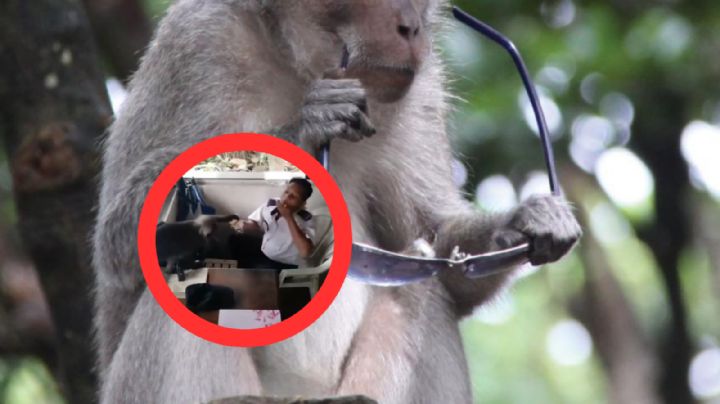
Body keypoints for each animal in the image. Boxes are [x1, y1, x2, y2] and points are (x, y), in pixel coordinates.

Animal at [91, 1, 582, 403]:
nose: (411, 27)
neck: (297, 64)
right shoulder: (194, 45)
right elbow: (119, 243)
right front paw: (306, 125)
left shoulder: (421, 88)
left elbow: (439, 247)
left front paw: (524, 223)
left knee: (424, 285)